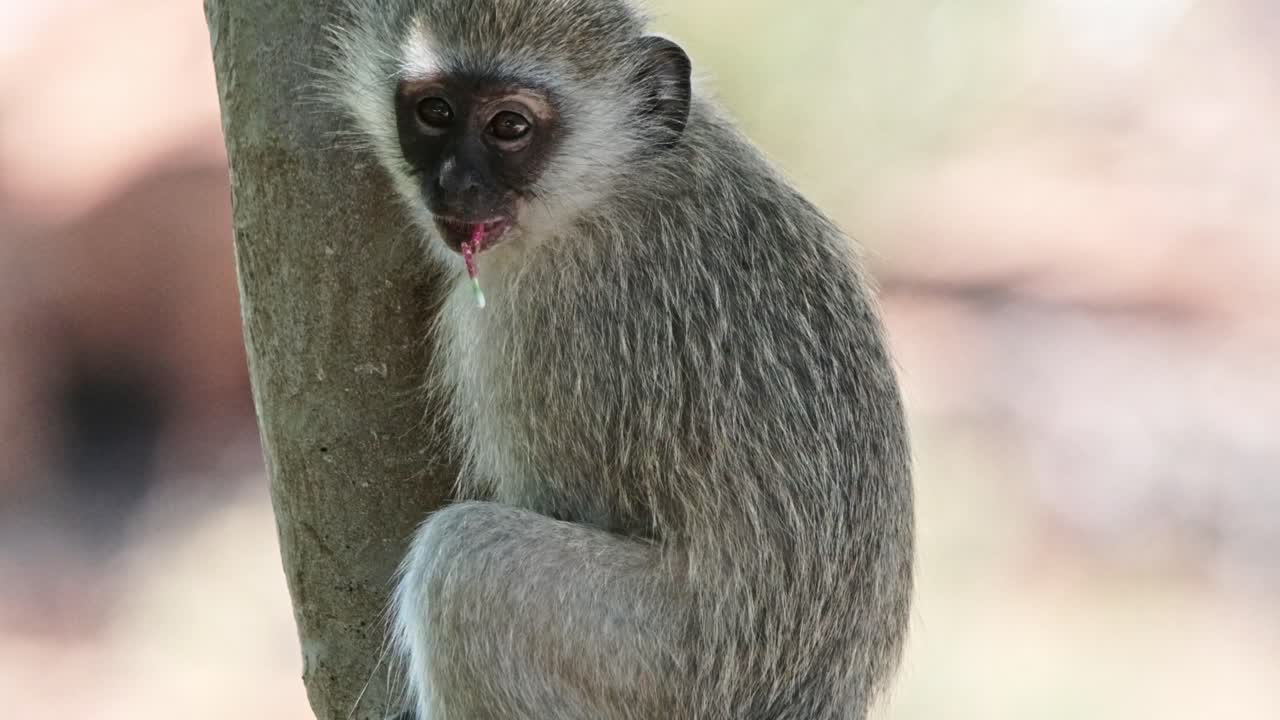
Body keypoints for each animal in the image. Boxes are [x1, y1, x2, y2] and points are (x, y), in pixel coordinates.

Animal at [327, 1, 914, 718]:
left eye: (510, 126)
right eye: (434, 111)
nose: (454, 184)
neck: (615, 182)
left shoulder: (540, 323)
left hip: (655, 667)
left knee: (462, 564)